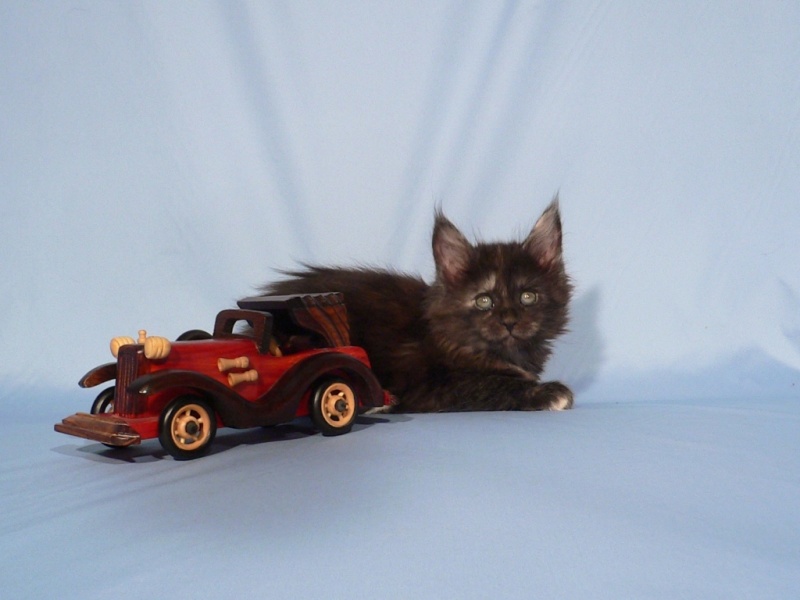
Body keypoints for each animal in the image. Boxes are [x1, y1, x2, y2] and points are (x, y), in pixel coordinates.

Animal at [260, 198, 573, 412]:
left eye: (527, 297)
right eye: (484, 300)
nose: (509, 320)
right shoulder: (433, 386)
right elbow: (490, 383)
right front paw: (550, 392)